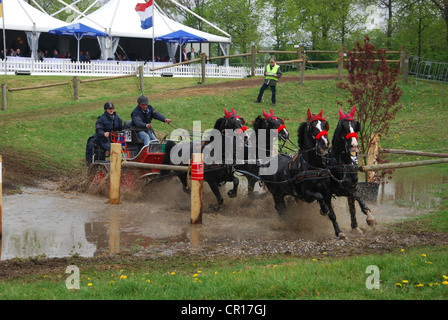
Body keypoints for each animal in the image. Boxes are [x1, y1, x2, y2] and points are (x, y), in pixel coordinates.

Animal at [260, 109, 344, 239]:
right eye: (312, 127)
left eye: (324, 125)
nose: (325, 142)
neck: (314, 167)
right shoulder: (306, 194)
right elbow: (319, 197)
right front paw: (323, 208)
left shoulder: (327, 192)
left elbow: (332, 214)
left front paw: (339, 232)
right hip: (275, 192)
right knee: (279, 208)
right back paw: (286, 223)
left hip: (283, 192)